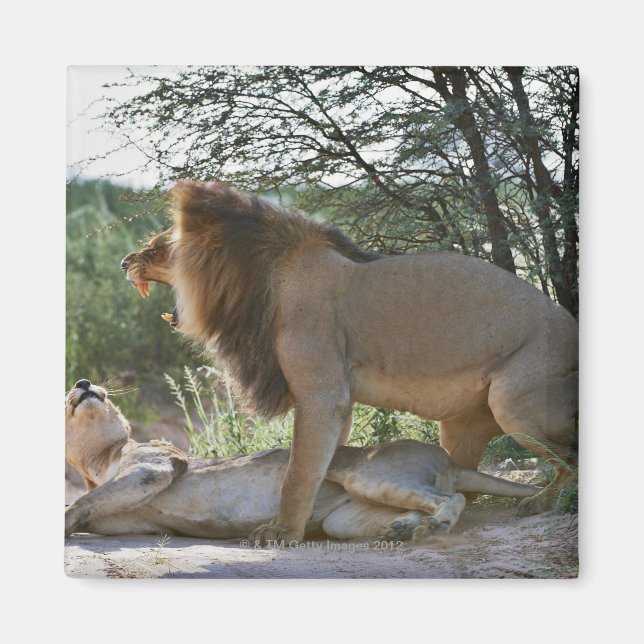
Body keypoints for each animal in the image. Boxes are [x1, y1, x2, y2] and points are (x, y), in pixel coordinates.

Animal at [65, 380, 540, 542]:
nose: (83, 382)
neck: (97, 459)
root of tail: (446, 457)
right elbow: (92, 504)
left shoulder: (158, 464)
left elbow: (82, 500)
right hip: (345, 519)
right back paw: (404, 529)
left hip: (368, 475)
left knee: (450, 500)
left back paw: (433, 526)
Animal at [121, 181, 578, 545]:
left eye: (156, 248)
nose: (125, 261)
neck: (261, 279)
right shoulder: (334, 403)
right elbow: (315, 466)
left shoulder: (323, 394)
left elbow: (297, 473)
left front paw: (281, 533)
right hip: (462, 425)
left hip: (512, 401)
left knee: (569, 458)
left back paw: (546, 502)